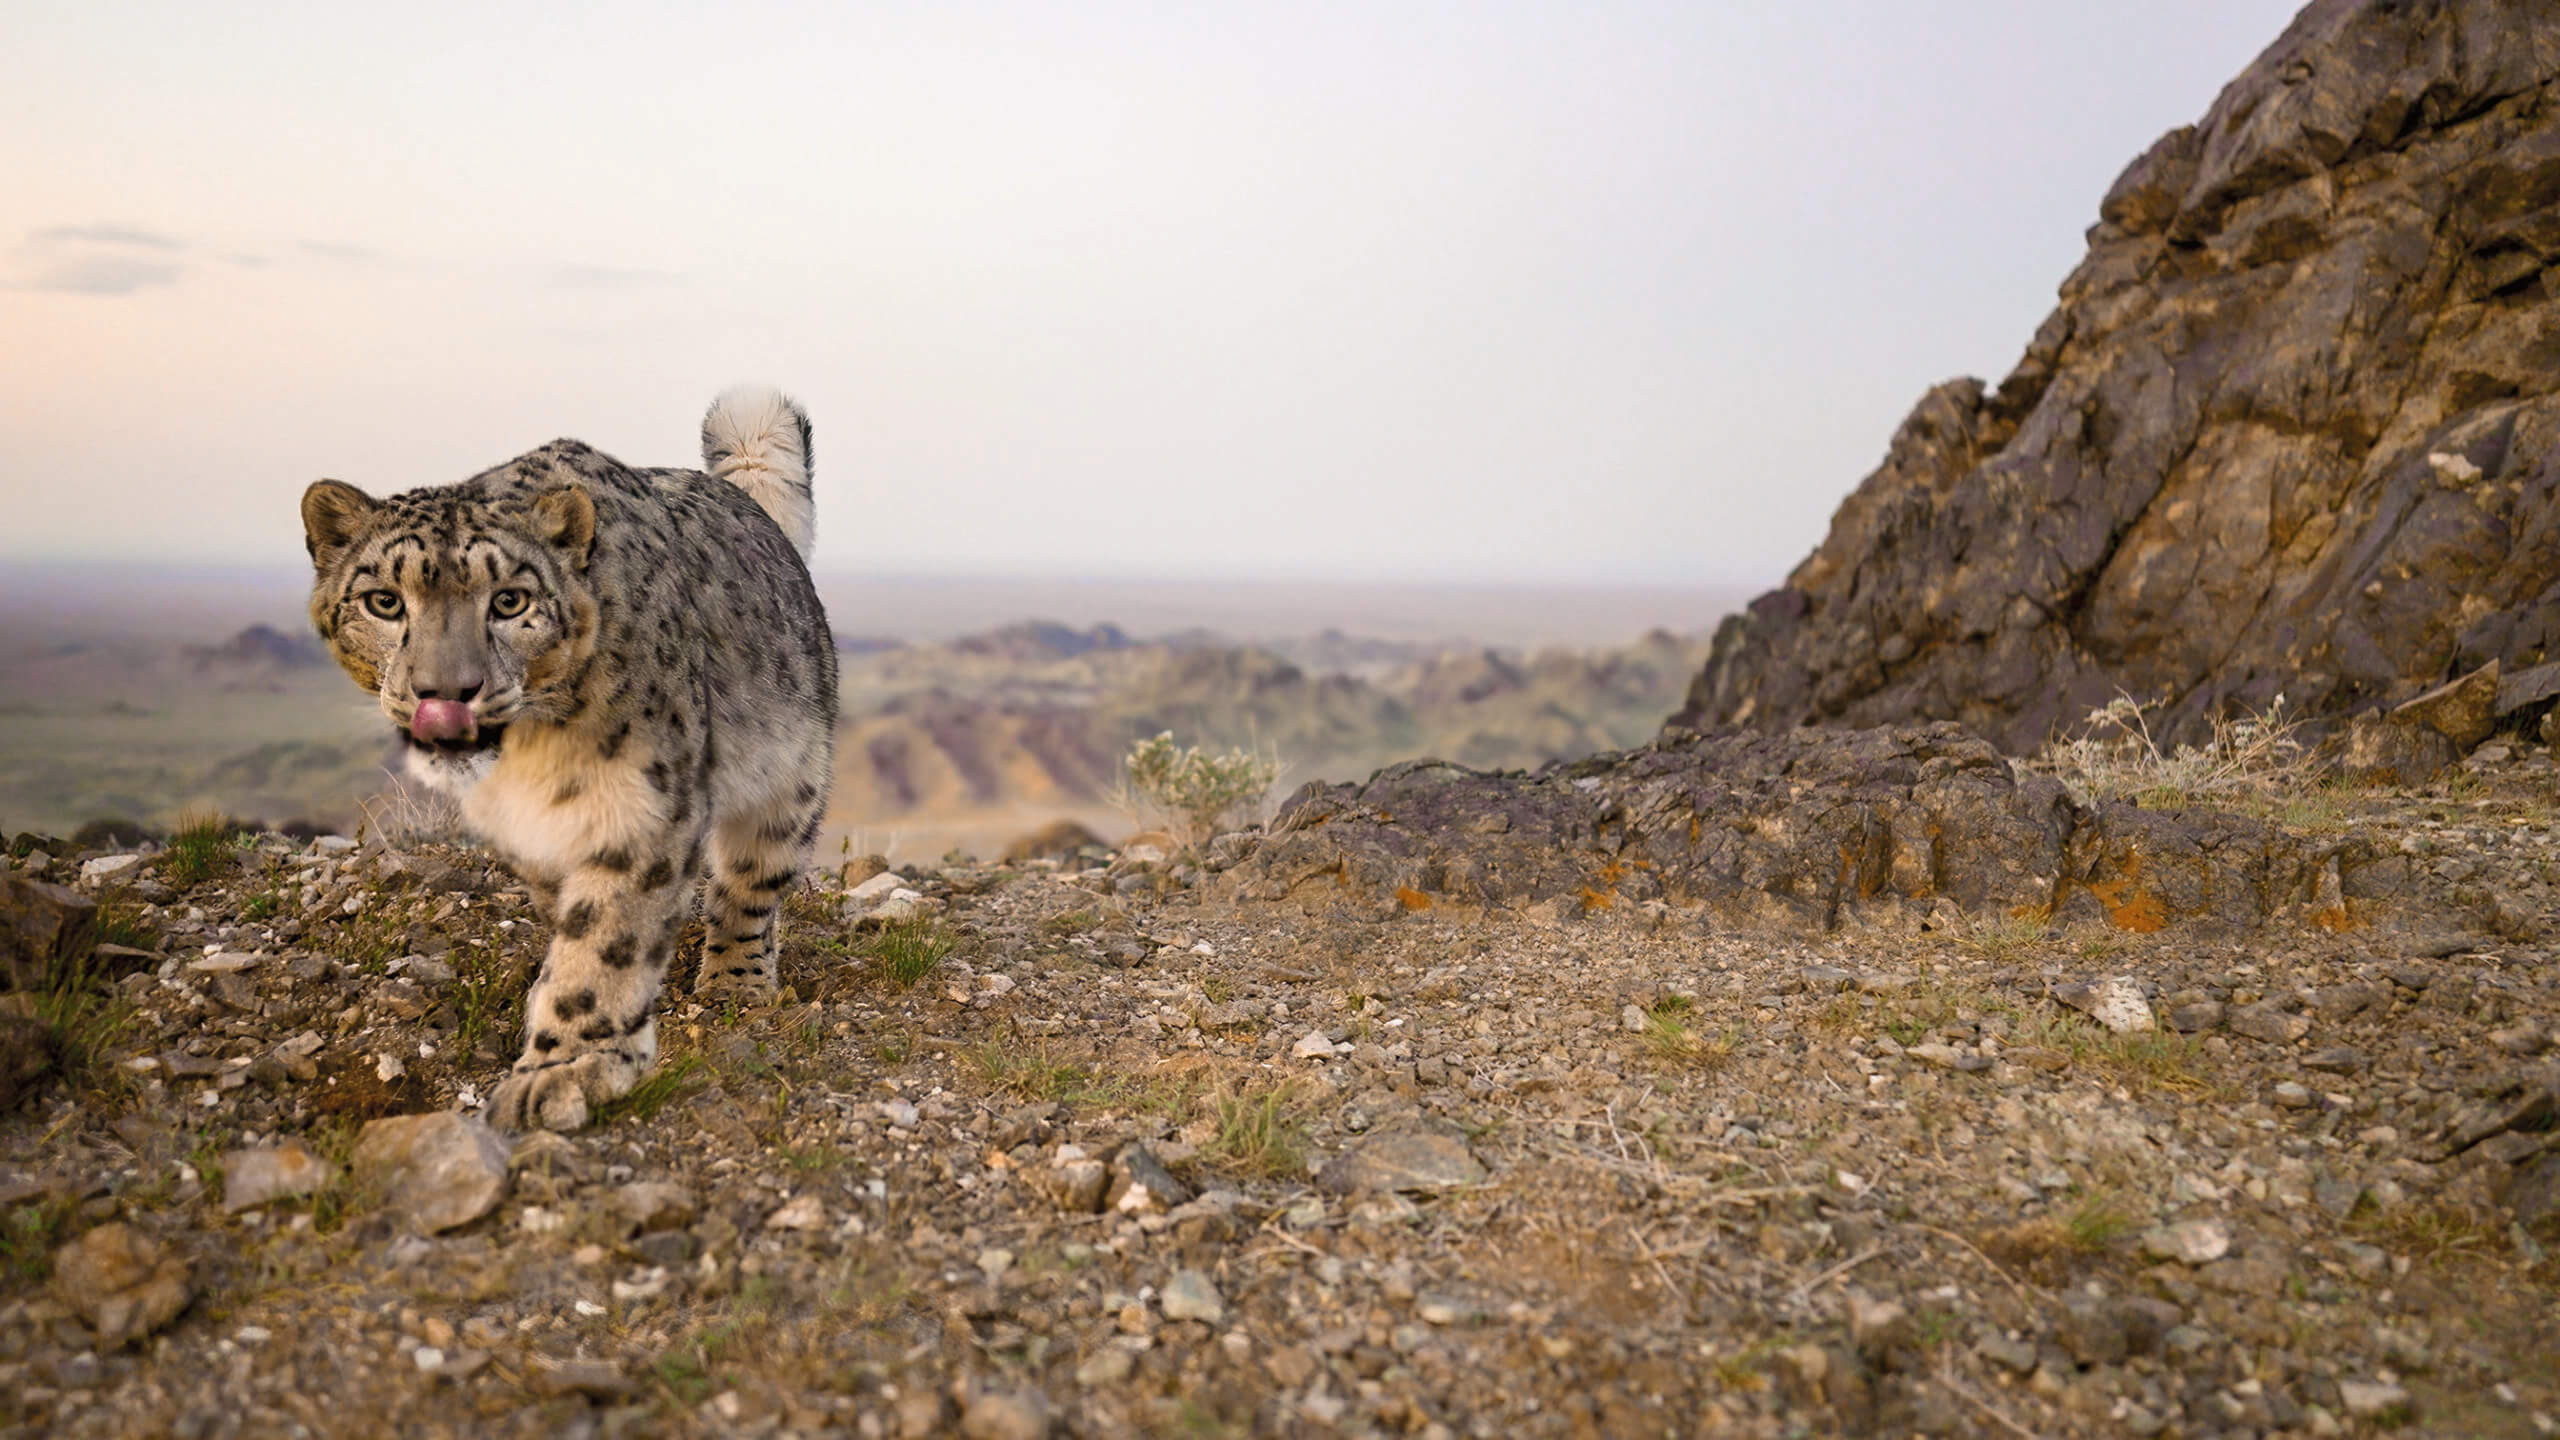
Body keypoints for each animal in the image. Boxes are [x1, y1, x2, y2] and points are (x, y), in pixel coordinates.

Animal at [302, 386, 839, 1127]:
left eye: (509, 601)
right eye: (383, 601)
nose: (446, 693)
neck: (532, 755)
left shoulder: (642, 803)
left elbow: (606, 939)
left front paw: (566, 1069)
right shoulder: (523, 825)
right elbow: (573, 915)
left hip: (790, 775)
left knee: (752, 885)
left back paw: (736, 982)